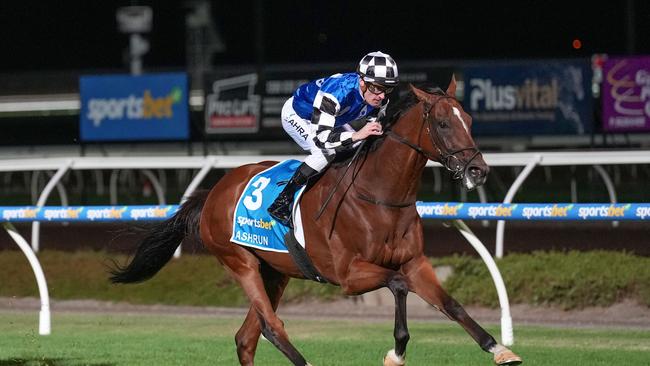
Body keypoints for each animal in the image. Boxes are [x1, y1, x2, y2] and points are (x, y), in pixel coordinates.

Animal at [110, 76, 520, 364]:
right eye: (443, 123)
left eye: (468, 119)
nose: (478, 170)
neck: (380, 196)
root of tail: (213, 191)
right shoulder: (349, 275)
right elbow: (399, 285)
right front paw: (396, 351)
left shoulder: (415, 262)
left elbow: (450, 304)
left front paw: (499, 348)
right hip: (240, 262)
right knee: (272, 327)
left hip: (275, 271)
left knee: (246, 338)